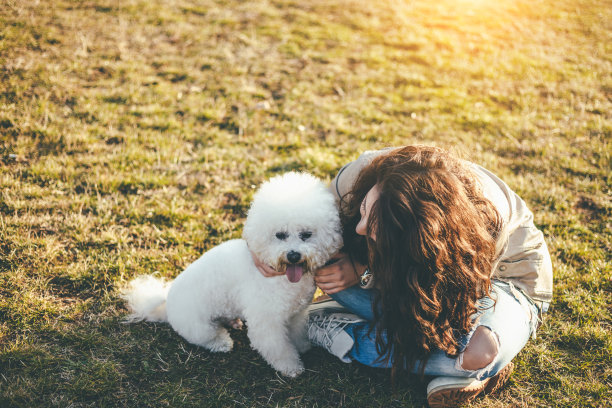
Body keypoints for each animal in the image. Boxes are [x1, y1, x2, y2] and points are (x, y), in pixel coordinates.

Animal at [117, 171, 342, 376]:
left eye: (306, 234)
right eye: (280, 235)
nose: (293, 255)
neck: (282, 277)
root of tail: (166, 301)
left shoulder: (296, 313)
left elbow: (297, 333)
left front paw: (302, 347)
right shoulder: (266, 321)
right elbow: (278, 348)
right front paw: (291, 367)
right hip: (198, 326)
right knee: (208, 337)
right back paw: (222, 342)